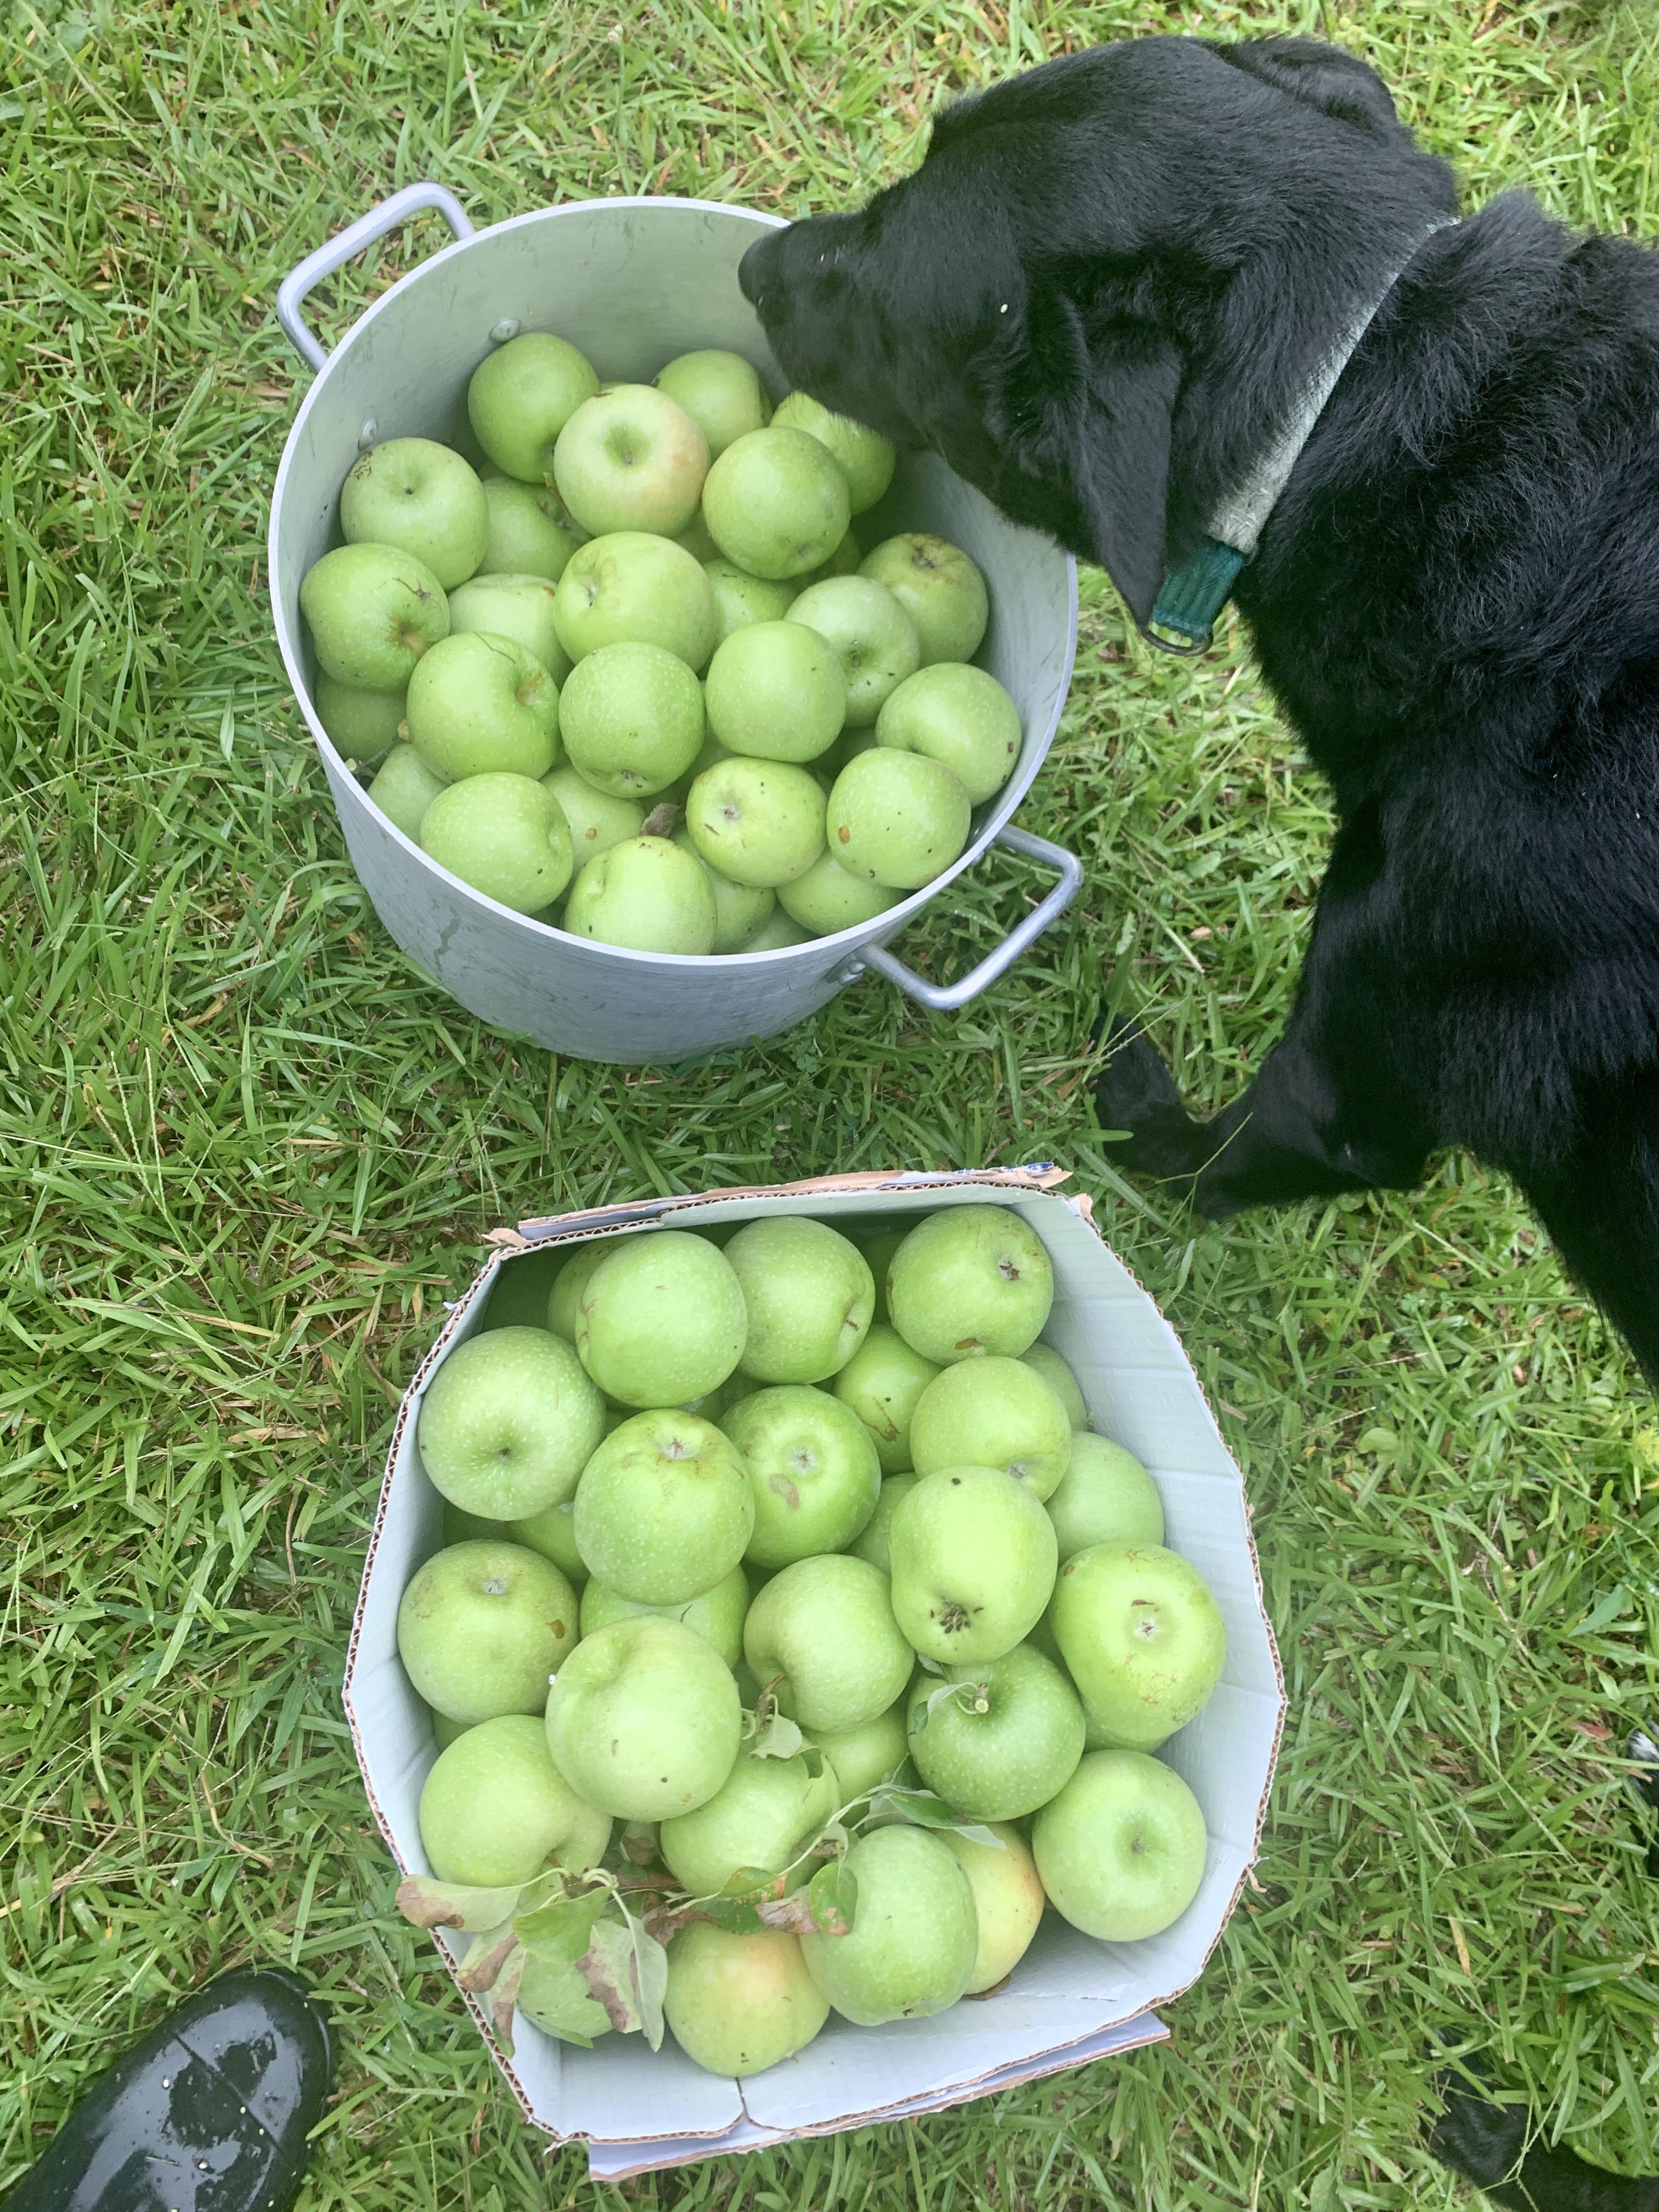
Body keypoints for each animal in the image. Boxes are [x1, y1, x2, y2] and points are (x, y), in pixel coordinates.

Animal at [738, 30, 1659, 1380]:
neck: (1368, 384)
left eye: (888, 280)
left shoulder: (1347, 1078)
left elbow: (1220, 1158)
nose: (753, 266)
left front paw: (1137, 1125)